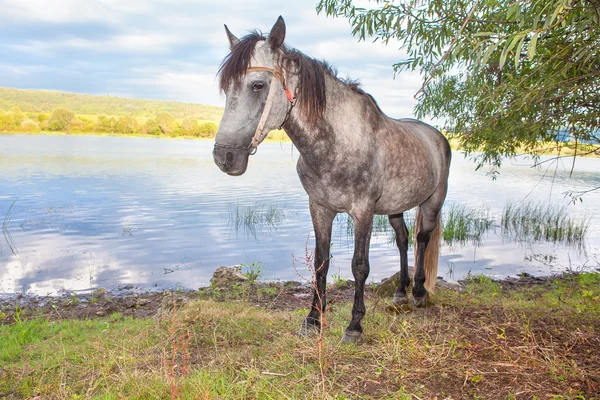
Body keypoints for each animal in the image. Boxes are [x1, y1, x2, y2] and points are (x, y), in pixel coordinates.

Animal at [212, 14, 450, 340]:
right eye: (227, 88)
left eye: (258, 84)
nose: (224, 157)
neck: (337, 141)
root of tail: (437, 137)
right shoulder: (320, 208)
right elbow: (321, 262)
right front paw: (313, 318)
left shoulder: (362, 212)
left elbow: (360, 266)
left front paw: (355, 324)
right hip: (395, 208)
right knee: (402, 240)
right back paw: (400, 292)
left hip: (432, 201)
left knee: (422, 239)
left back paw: (417, 292)